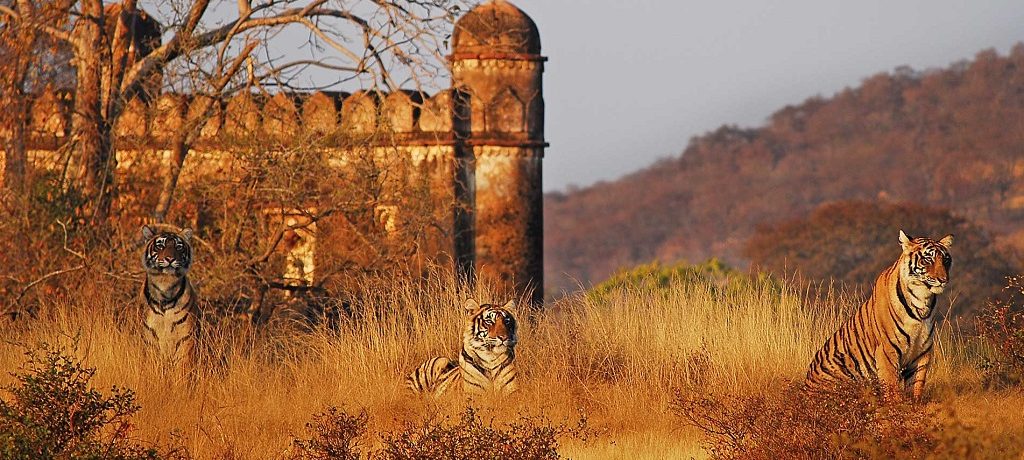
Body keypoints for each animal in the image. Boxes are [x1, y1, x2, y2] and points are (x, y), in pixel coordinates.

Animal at [141, 224, 202, 366]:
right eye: (160, 246)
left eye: (178, 247)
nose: (170, 259)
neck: (165, 284)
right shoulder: (150, 337)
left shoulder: (185, 338)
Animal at [806, 229, 950, 397]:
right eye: (928, 259)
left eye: (946, 260)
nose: (943, 280)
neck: (922, 300)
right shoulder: (887, 350)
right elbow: (892, 388)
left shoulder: (922, 352)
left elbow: (917, 386)